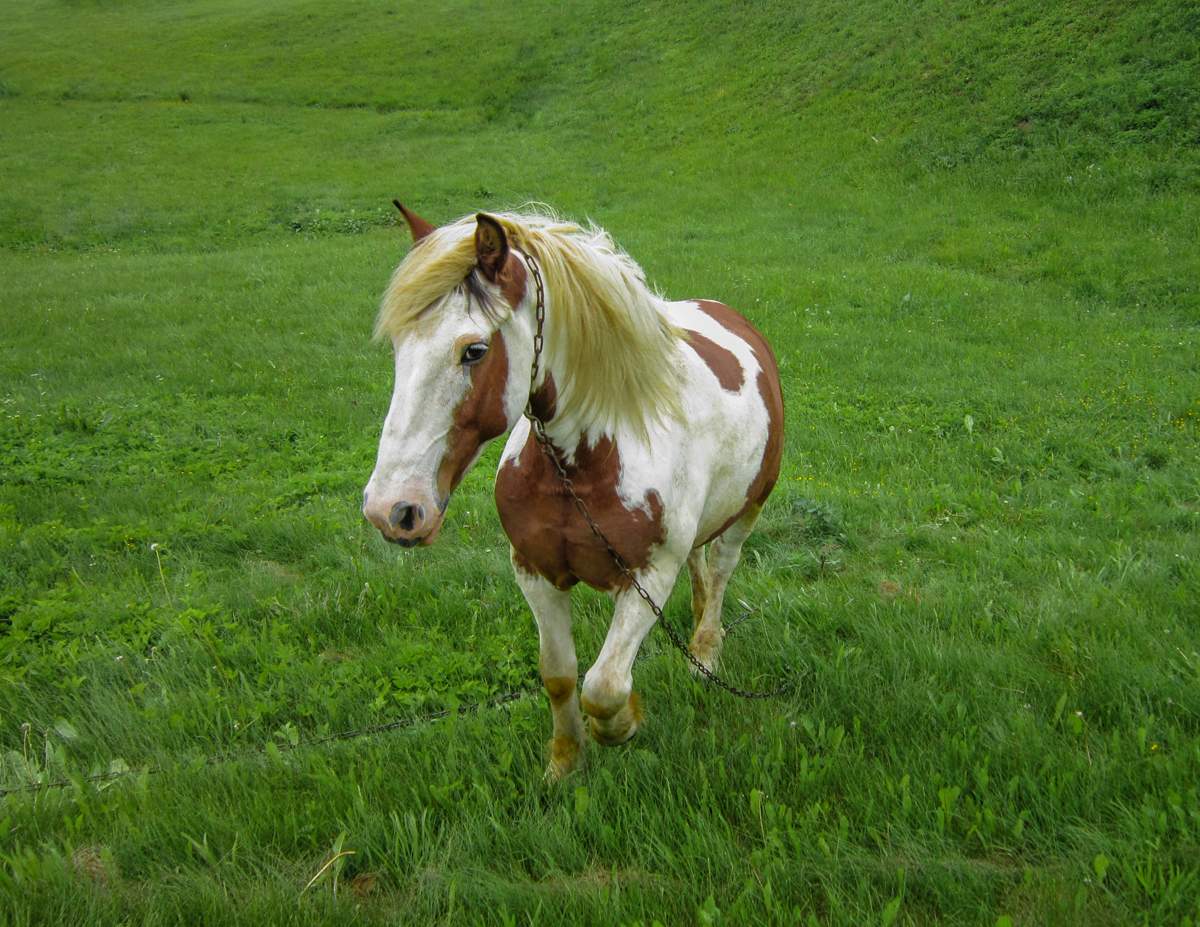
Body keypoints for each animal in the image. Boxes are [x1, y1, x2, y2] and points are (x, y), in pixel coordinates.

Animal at [363, 204, 783, 779]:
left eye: (474, 350)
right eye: (399, 347)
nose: (393, 510)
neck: (583, 461)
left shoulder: (650, 575)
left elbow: (604, 686)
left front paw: (623, 725)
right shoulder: (534, 572)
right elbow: (560, 676)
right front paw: (565, 763)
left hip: (748, 512)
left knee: (719, 573)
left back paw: (704, 655)